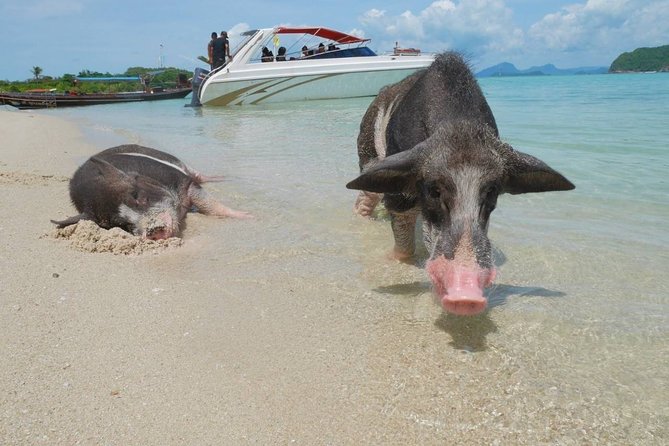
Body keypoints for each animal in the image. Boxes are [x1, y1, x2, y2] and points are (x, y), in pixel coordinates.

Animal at [51, 145, 250, 239]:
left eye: (137, 196)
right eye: (120, 224)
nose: (154, 230)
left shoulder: (181, 181)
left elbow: (209, 204)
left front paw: (250, 217)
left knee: (198, 175)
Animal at [348, 52, 572, 316]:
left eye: (491, 192)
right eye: (434, 191)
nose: (467, 297)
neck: (458, 126)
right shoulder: (400, 196)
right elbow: (404, 243)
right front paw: (394, 260)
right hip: (367, 156)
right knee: (366, 197)